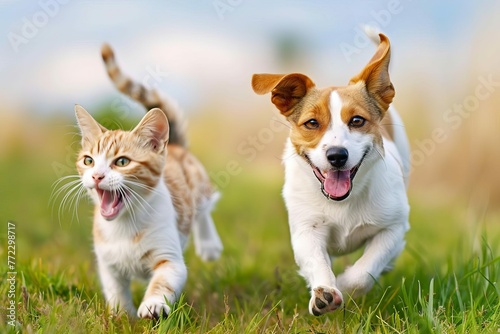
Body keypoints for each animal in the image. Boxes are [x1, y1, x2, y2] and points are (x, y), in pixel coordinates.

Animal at [73, 44, 223, 318]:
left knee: (205, 206)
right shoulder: (108, 264)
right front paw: (121, 316)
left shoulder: (169, 258)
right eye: (88, 161)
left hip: (197, 180)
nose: (97, 176)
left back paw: (209, 245)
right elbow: (115, 291)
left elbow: (163, 281)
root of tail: (173, 145)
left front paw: (153, 304)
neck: (123, 226)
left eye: (122, 161)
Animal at [252, 31, 408, 316]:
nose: (337, 155)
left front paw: (345, 284)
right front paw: (325, 292)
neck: (344, 202)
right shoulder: (306, 230)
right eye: (312, 123)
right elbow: (317, 261)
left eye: (357, 120)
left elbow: (366, 268)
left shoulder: (393, 227)